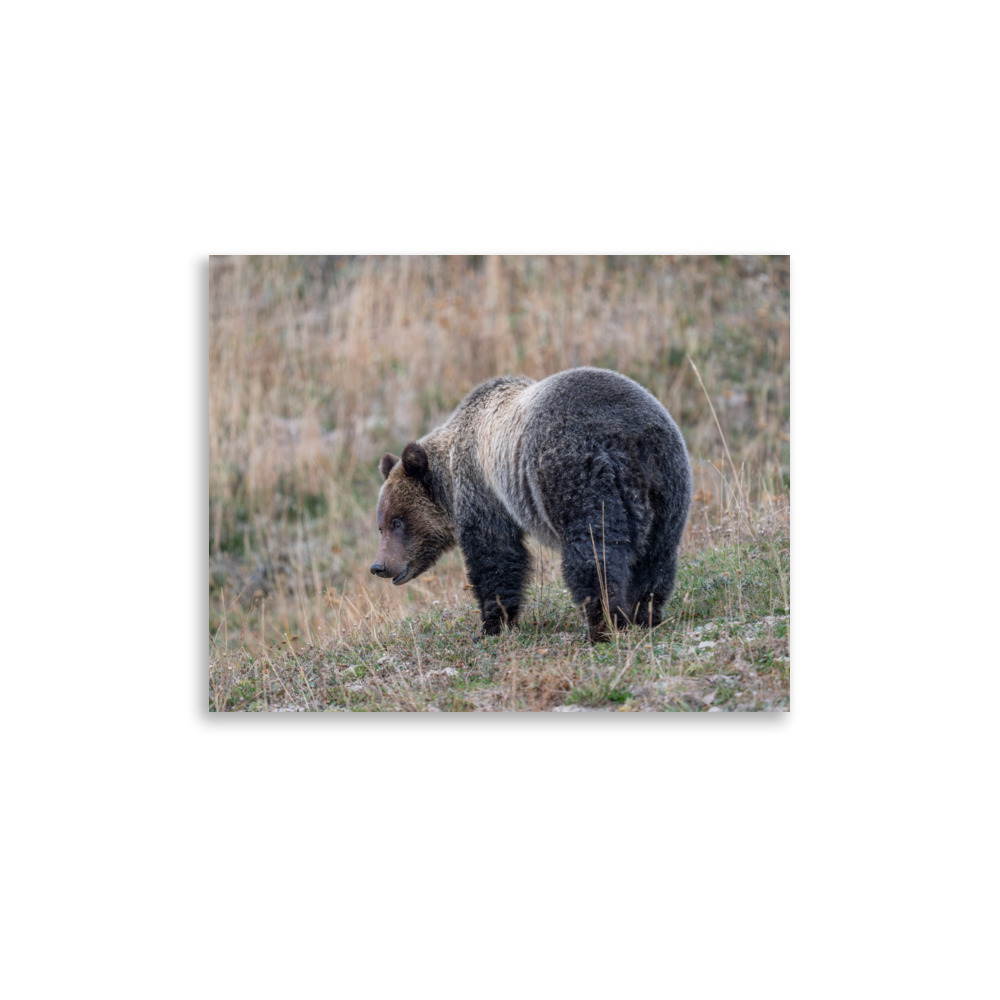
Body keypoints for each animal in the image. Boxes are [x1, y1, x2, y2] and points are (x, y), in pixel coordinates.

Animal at [370, 367, 692, 642]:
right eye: (381, 525)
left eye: (397, 522)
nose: (379, 566)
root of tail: (630, 438)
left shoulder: (484, 492)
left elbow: (496, 557)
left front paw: (492, 625)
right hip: (668, 484)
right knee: (656, 556)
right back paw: (644, 614)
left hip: (578, 475)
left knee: (594, 554)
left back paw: (602, 625)